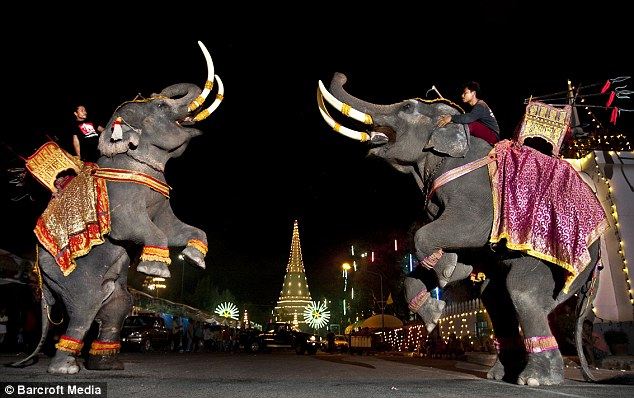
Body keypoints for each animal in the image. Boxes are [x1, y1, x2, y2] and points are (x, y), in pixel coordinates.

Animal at [10, 42, 225, 374]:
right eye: (160, 108)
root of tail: (39, 271)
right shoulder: (121, 196)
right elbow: (136, 228)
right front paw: (155, 269)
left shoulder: (160, 198)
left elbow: (177, 228)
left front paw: (193, 257)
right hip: (70, 280)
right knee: (83, 313)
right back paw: (66, 368)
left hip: (111, 292)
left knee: (116, 308)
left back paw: (108, 364)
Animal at [318, 72, 604, 386]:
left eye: (407, 107)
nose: (341, 76)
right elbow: (454, 251)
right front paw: (439, 299)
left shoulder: (477, 194)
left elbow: (452, 231)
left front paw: (444, 272)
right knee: (496, 298)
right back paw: (499, 374)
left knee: (523, 291)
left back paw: (535, 379)